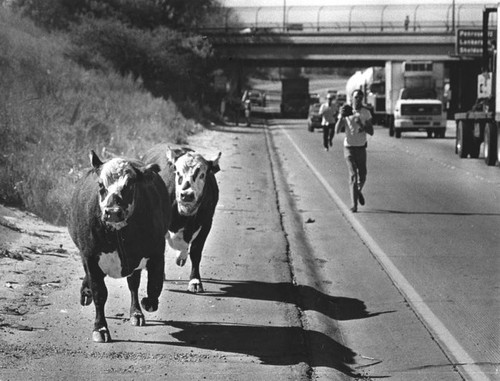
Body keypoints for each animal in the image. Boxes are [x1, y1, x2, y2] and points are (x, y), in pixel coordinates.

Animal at [68, 151, 172, 342]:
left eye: (130, 185)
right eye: (101, 185)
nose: (113, 212)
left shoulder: (156, 252)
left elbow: (154, 285)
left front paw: (147, 303)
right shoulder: (90, 256)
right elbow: (99, 293)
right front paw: (100, 328)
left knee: (133, 285)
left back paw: (136, 313)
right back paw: (86, 292)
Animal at [141, 144, 219, 292]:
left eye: (202, 174)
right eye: (177, 172)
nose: (187, 195)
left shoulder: (207, 223)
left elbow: (195, 252)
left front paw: (195, 281)